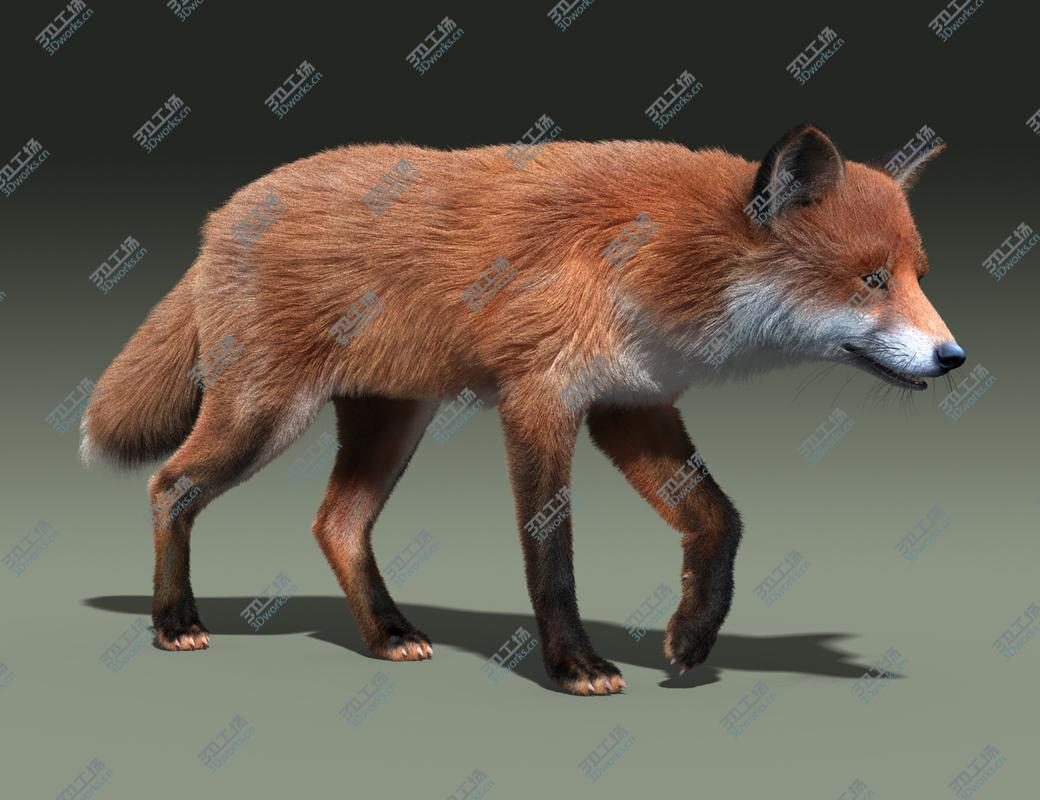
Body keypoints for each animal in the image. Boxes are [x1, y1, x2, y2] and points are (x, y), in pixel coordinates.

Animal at [81, 124, 965, 695]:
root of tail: (221, 216)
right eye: (871, 280)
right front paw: (574, 665)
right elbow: (552, 557)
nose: (953, 358)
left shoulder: (631, 403)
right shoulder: (539, 398)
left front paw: (692, 636)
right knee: (171, 484)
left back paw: (387, 635)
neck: (657, 258)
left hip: (392, 420)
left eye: (919, 277)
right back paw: (173, 621)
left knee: (336, 523)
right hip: (263, 417)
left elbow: (721, 521)